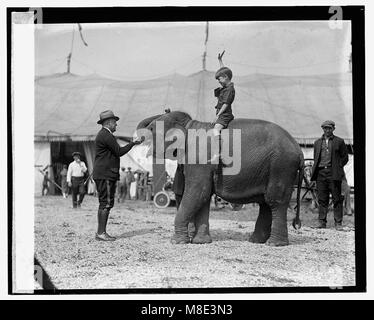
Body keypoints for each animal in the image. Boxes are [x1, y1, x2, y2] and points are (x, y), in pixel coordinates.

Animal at [137, 111, 304, 246]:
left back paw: (274, 244)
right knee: (265, 203)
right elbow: (203, 197)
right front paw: (201, 242)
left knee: (275, 201)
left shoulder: (200, 161)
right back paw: (256, 241)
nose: (138, 140)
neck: (190, 124)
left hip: (281, 167)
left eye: (151, 129)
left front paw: (177, 242)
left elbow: (198, 193)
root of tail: (299, 150)